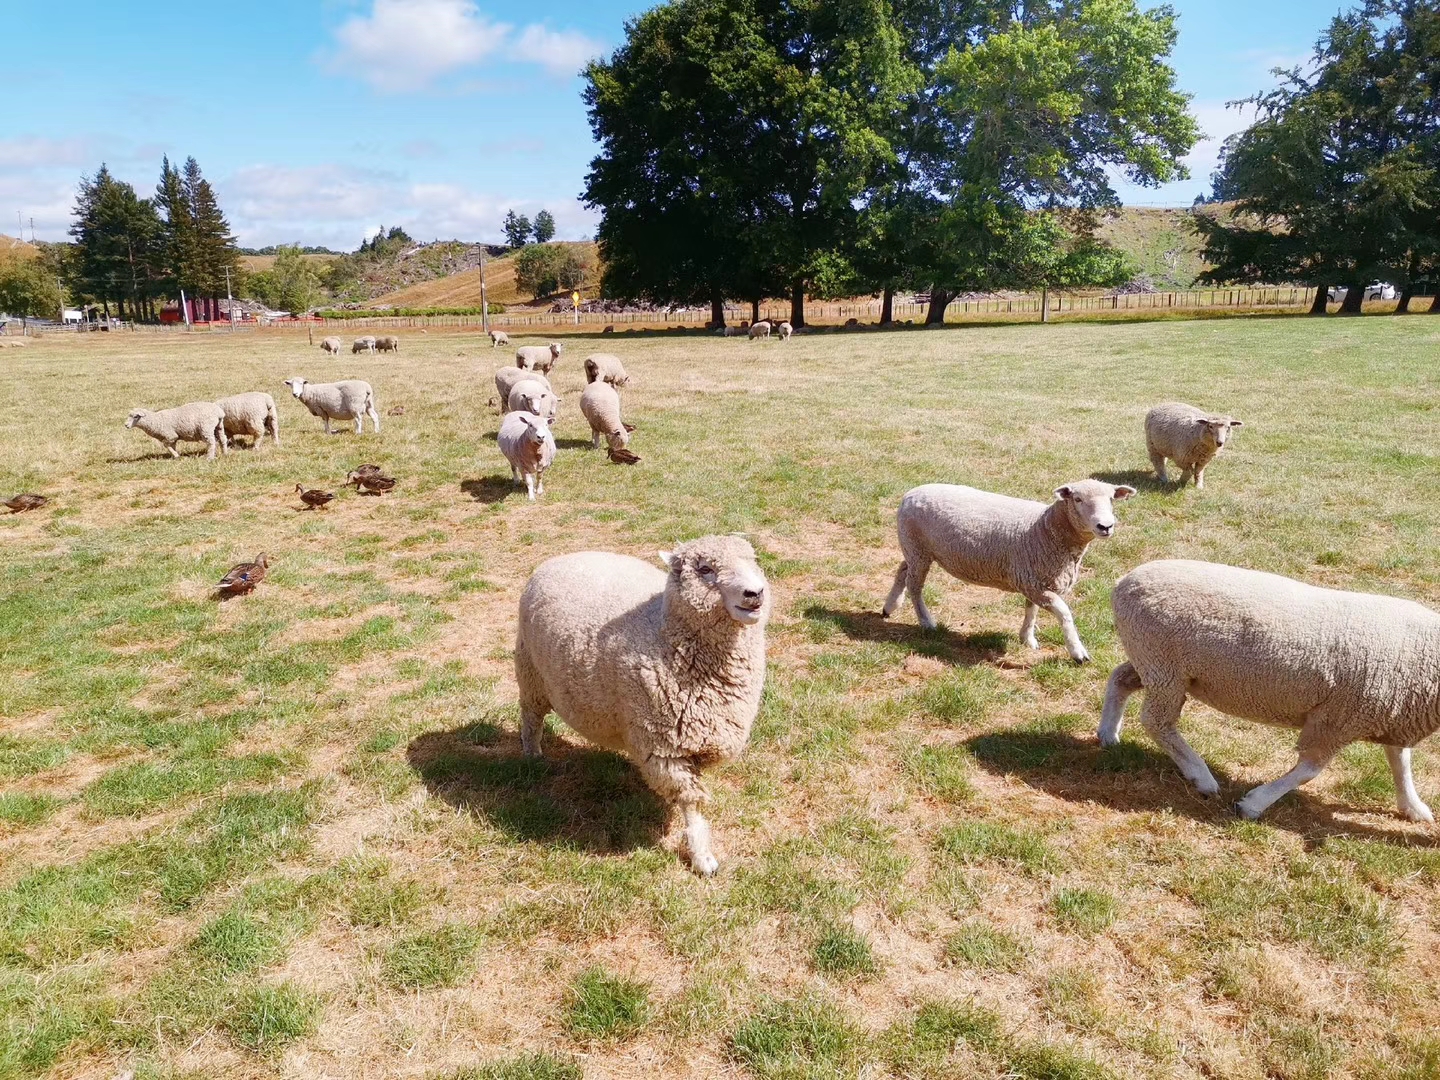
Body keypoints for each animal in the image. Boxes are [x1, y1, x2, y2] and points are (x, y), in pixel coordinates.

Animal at [515, 538, 771, 875]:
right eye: (705, 569)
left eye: (753, 560)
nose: (755, 593)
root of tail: (559, 558)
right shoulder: (665, 749)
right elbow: (691, 801)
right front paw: (702, 856)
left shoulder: (699, 738)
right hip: (530, 671)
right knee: (531, 718)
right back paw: (532, 756)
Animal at [875, 480, 1134, 665]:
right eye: (1078, 499)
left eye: (1111, 499)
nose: (1106, 526)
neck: (1045, 528)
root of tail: (910, 493)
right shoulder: (1033, 581)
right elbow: (1064, 613)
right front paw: (1077, 651)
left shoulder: (1034, 580)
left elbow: (1031, 610)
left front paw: (1027, 638)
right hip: (917, 548)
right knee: (915, 586)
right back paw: (926, 622)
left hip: (915, 548)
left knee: (903, 570)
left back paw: (890, 606)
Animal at [1094, 561, 1440, 823]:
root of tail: (1124, 581)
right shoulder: (1336, 719)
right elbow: (1308, 771)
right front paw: (1254, 803)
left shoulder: (1391, 711)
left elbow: (1400, 763)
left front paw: (1413, 807)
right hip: (1163, 666)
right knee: (1157, 722)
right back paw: (1201, 775)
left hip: (1154, 663)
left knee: (1120, 679)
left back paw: (1108, 734)